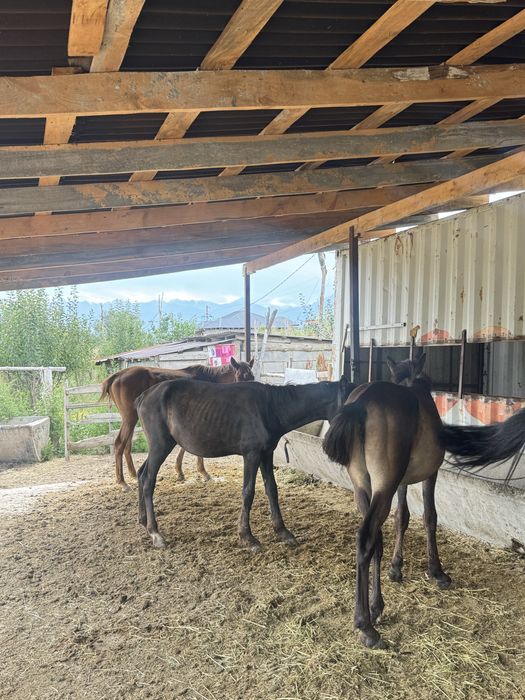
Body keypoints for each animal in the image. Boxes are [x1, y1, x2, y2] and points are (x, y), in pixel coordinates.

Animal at [100, 357, 254, 490]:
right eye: (240, 376)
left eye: (252, 377)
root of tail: (117, 375)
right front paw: (201, 472)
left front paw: (180, 471)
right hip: (130, 418)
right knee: (120, 443)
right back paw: (122, 482)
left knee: (127, 444)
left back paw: (131, 474)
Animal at [135, 376, 354, 550]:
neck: (270, 407)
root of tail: (144, 396)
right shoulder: (251, 455)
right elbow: (248, 492)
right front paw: (247, 537)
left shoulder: (266, 454)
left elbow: (272, 489)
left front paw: (283, 532)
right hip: (160, 446)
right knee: (148, 481)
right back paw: (155, 533)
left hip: (159, 448)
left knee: (140, 474)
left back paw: (143, 521)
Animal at [322, 354, 525, 649]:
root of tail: (362, 403)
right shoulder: (431, 474)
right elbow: (430, 517)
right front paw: (437, 571)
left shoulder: (402, 482)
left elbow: (402, 518)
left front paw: (396, 568)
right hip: (383, 486)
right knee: (366, 537)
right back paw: (366, 625)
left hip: (363, 486)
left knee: (375, 539)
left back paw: (376, 606)